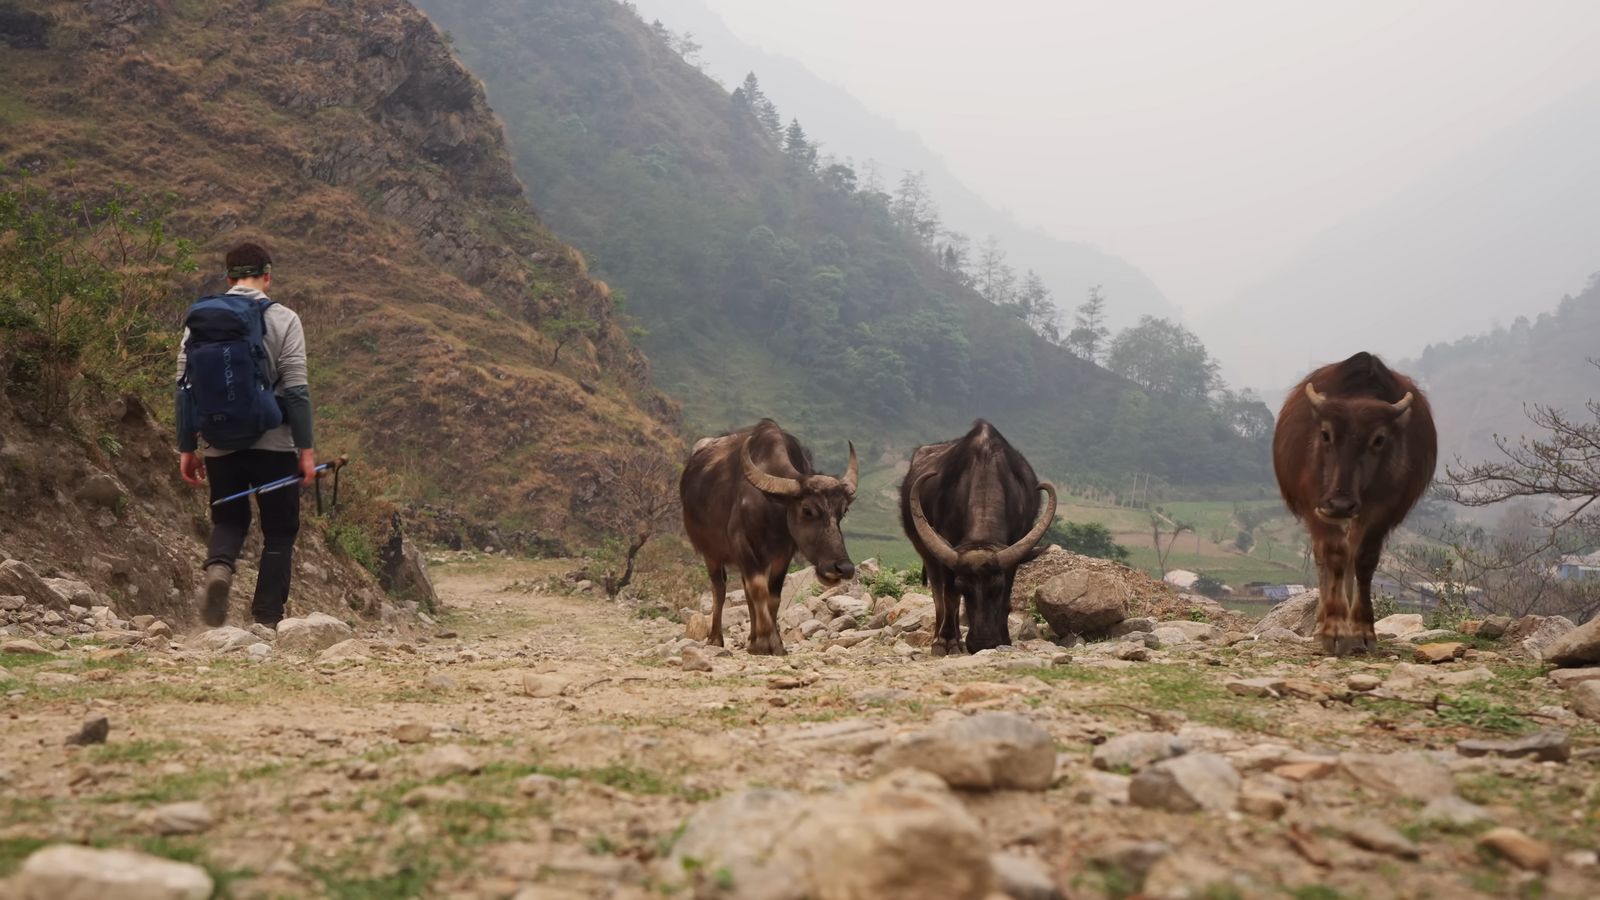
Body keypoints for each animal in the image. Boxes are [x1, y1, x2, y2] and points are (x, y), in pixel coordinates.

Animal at [678, 416, 857, 656]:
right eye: (807, 510)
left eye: (843, 511)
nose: (843, 568)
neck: (772, 509)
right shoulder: (742, 546)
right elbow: (758, 589)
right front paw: (763, 641)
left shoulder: (783, 553)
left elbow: (772, 596)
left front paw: (774, 642)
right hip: (711, 553)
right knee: (720, 589)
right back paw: (716, 638)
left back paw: (751, 637)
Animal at [908, 419, 1056, 650]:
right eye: (963, 587)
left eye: (996, 587)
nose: (981, 642)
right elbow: (949, 597)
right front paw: (947, 640)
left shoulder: (1014, 550)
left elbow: (1007, 600)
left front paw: (1004, 638)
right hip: (926, 553)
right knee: (938, 596)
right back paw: (943, 639)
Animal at [1273, 349, 1440, 650]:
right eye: (1325, 434)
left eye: (1379, 439)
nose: (1341, 504)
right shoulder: (1317, 503)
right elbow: (1334, 554)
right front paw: (1332, 628)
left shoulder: (1383, 508)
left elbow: (1363, 559)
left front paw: (1362, 629)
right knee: (1328, 557)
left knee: (1352, 552)